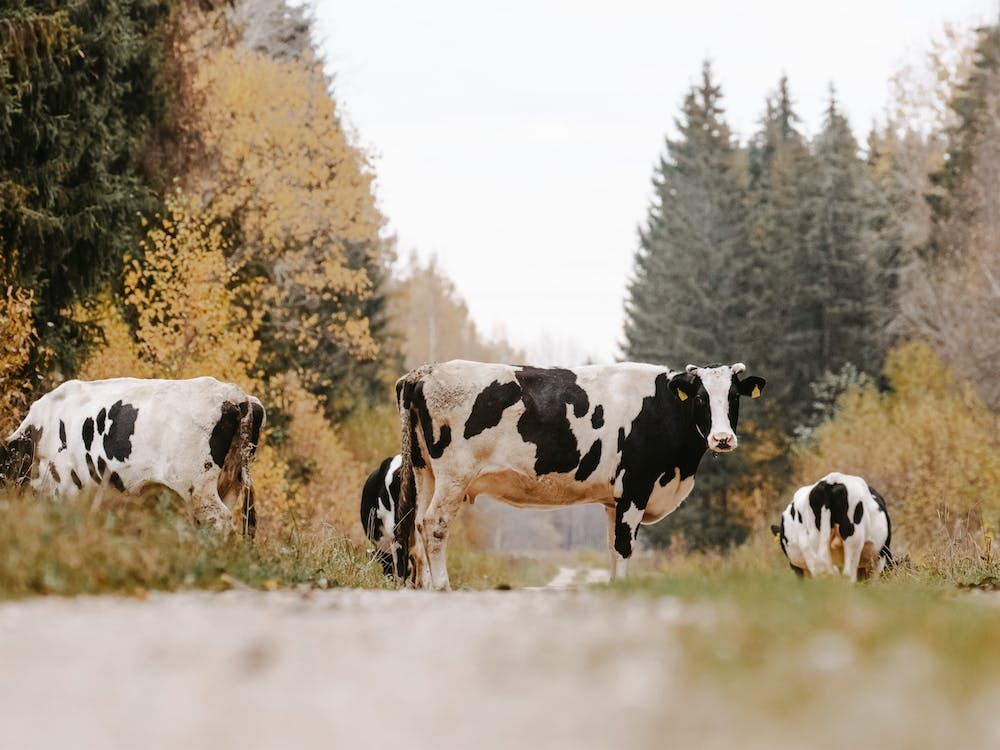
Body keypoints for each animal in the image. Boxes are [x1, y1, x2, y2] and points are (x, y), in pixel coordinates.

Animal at [395, 360, 766, 590]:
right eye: (701, 398)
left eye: (734, 397)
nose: (722, 438)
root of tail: (428, 371)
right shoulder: (636, 486)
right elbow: (625, 544)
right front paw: (623, 587)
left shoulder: (615, 499)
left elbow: (613, 546)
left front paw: (615, 585)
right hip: (453, 475)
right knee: (435, 523)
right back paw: (442, 586)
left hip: (425, 471)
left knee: (417, 523)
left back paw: (425, 586)